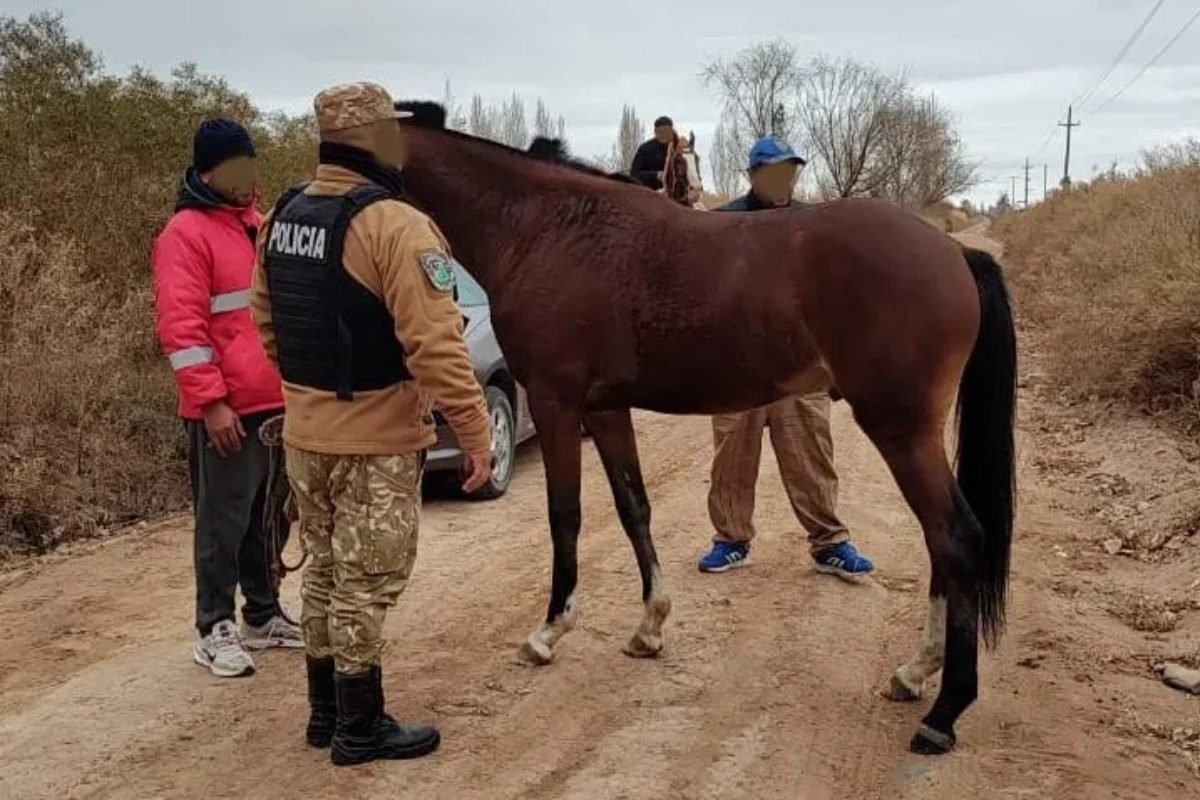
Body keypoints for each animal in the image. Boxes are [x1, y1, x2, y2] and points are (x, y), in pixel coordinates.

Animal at [394, 101, 1016, 756]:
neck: (546, 229)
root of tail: (955, 253)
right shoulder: (605, 409)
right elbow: (633, 507)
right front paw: (649, 627)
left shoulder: (555, 401)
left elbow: (565, 516)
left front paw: (549, 632)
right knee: (939, 540)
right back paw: (915, 673)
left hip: (900, 430)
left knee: (956, 537)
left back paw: (944, 710)